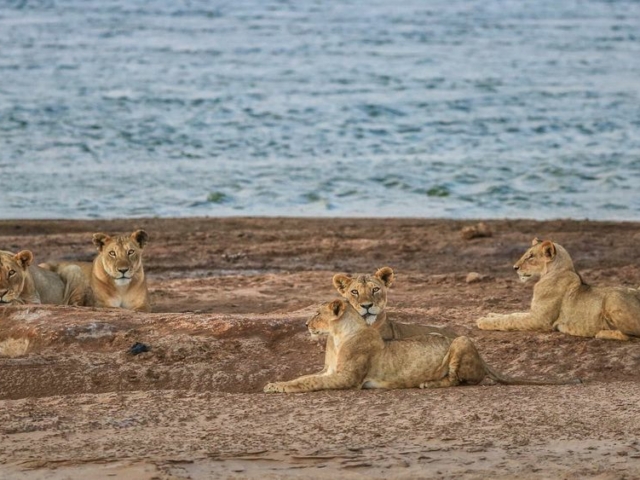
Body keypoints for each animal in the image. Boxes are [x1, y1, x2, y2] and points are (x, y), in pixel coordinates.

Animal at [264, 298, 579, 393]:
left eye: (318, 313)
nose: (305, 324)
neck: (338, 335)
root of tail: (484, 358)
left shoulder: (346, 378)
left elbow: (308, 383)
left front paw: (279, 388)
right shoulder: (330, 371)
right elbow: (303, 376)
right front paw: (275, 383)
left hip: (461, 340)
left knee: (458, 381)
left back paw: (429, 383)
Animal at [476, 238, 640, 341]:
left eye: (531, 256)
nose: (515, 267)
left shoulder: (539, 320)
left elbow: (510, 320)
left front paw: (483, 321)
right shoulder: (534, 313)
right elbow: (514, 314)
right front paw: (491, 314)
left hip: (613, 300)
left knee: (631, 335)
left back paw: (601, 333)